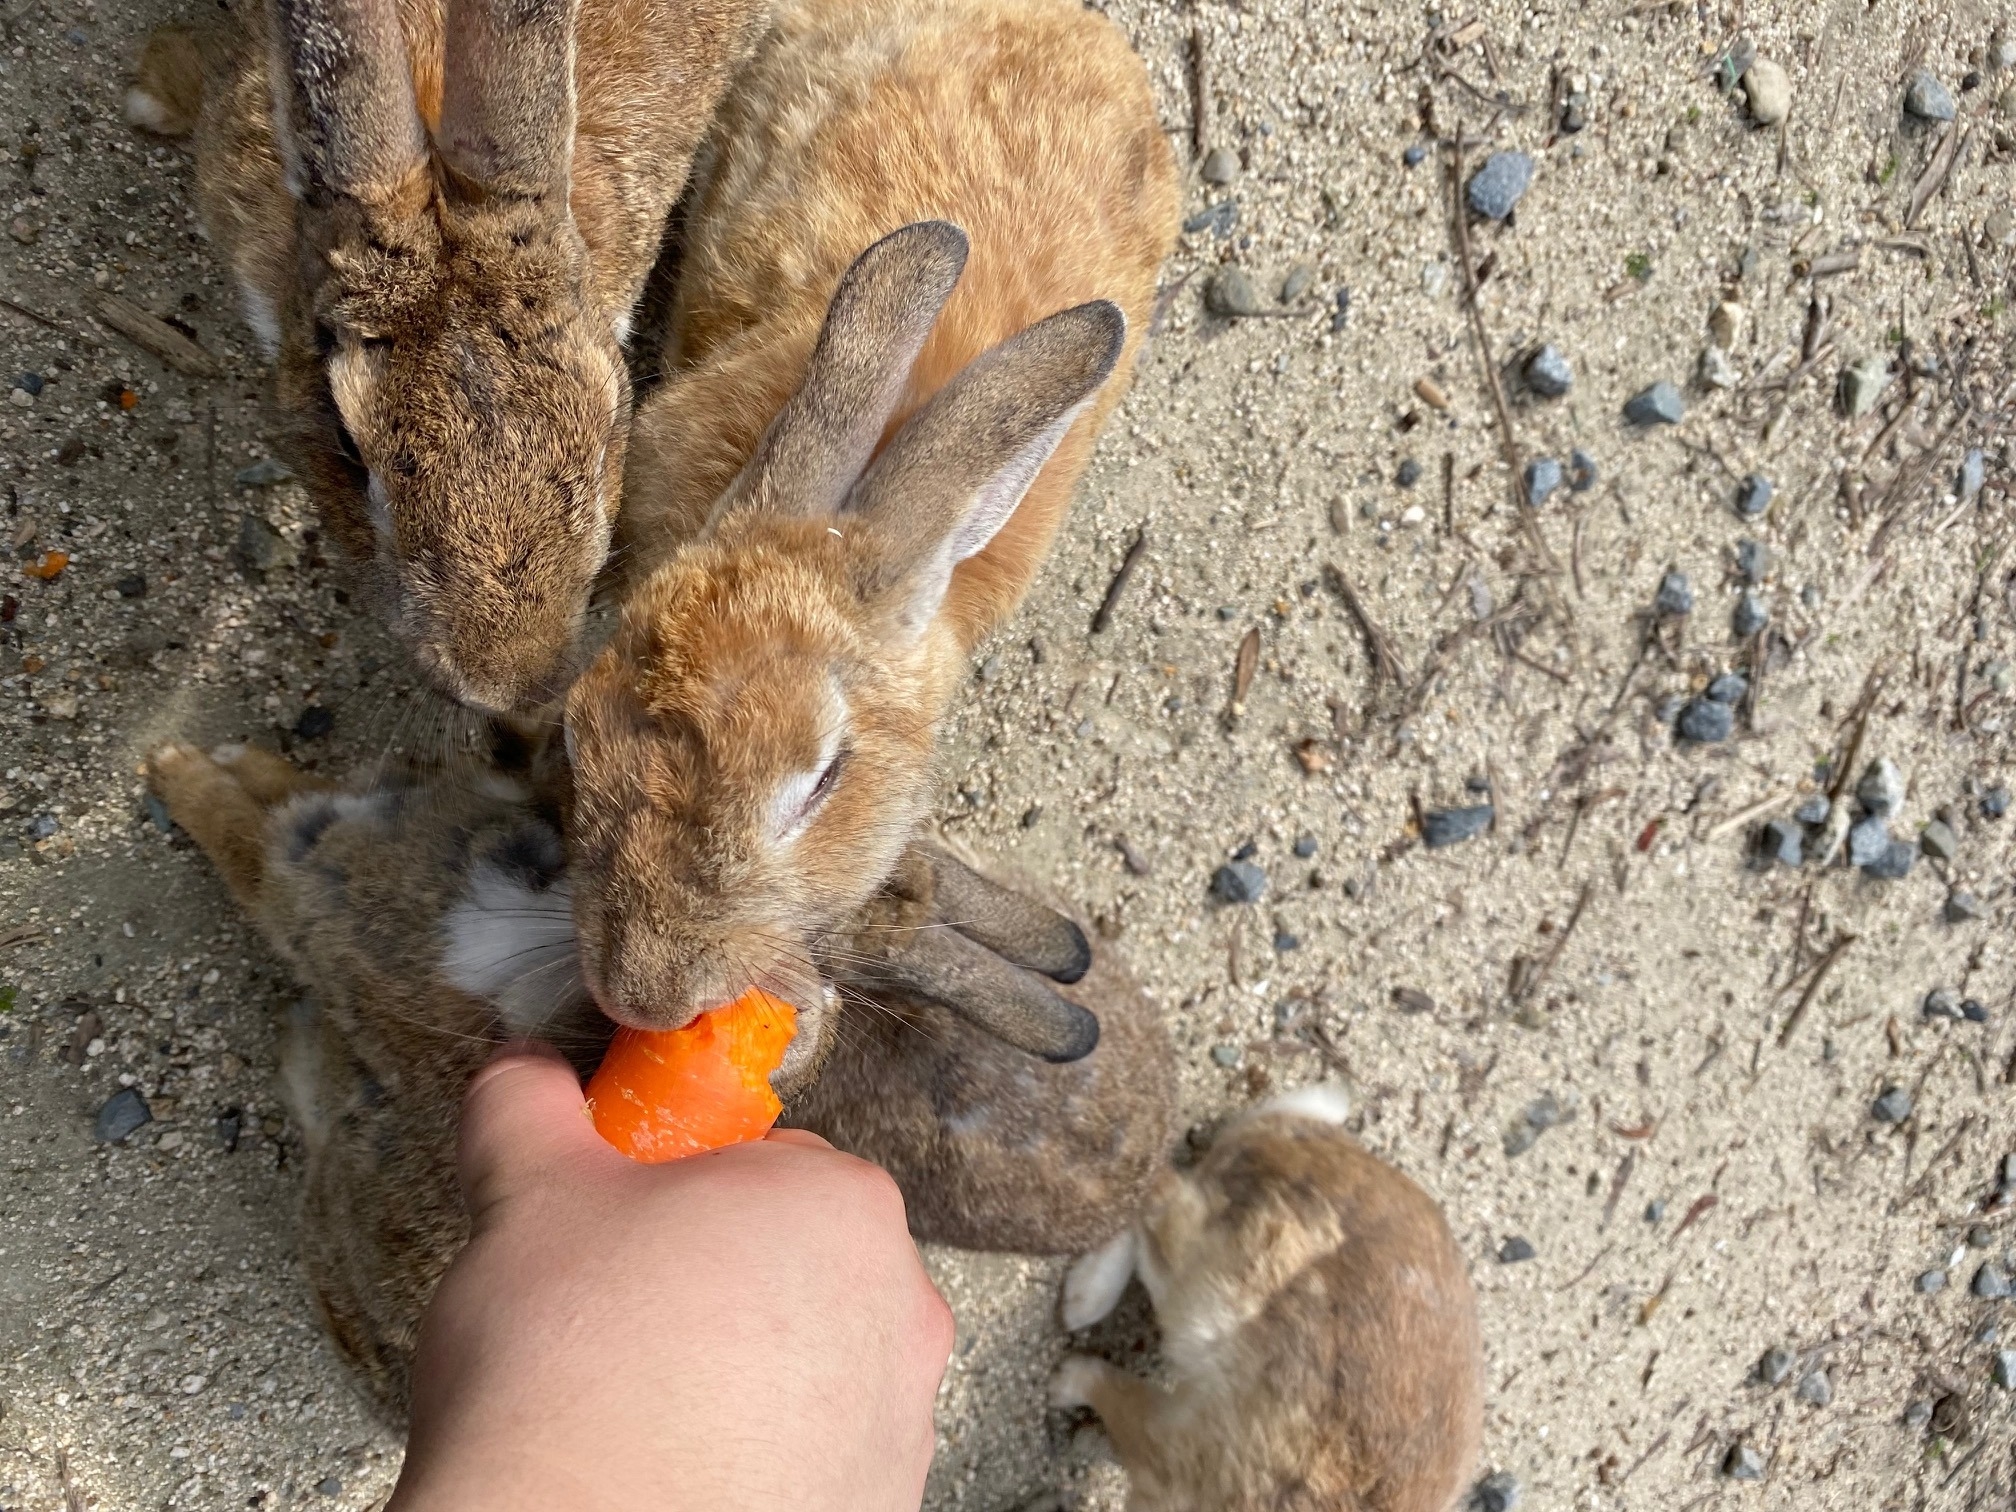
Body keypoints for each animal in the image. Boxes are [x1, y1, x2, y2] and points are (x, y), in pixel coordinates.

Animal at [1048, 1088, 1491, 1512]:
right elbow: (1115, 1397)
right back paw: (1082, 1301)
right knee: (1156, 1195)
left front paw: (1063, 1381)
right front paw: (1063, 1381)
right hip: (1204, 1270)